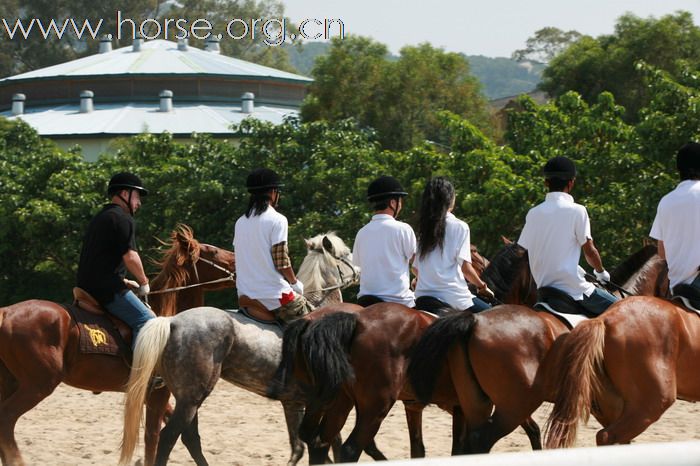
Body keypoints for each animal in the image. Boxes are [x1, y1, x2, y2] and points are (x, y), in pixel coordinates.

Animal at [0, 224, 237, 466]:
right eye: (213, 251)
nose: (237, 261)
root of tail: (6, 312)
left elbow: (188, 438)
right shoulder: (159, 394)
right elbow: (153, 439)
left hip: (11, 383)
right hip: (38, 385)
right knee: (7, 419)